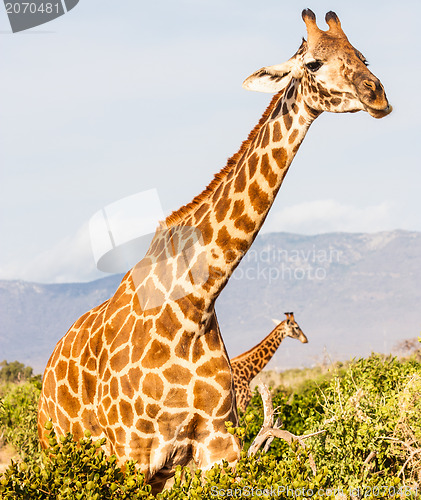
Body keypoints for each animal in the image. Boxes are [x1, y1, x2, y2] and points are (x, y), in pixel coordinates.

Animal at [38, 9, 390, 494]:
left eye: (362, 56)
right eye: (313, 64)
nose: (378, 95)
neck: (197, 303)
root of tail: (47, 371)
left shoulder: (217, 447)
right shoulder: (131, 454)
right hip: (62, 452)